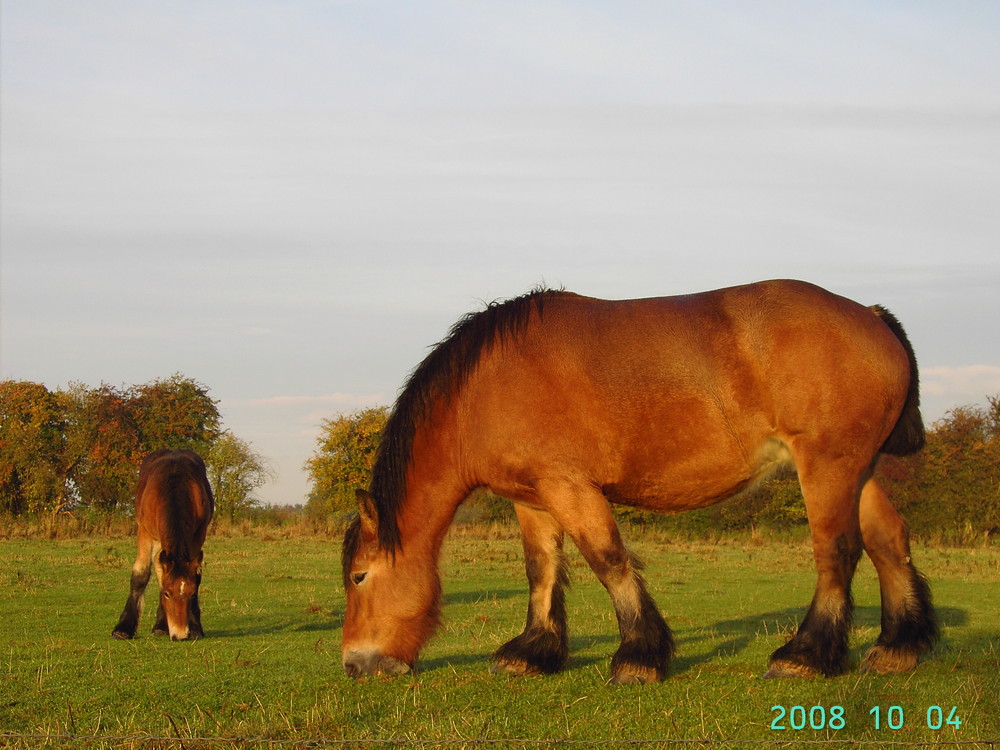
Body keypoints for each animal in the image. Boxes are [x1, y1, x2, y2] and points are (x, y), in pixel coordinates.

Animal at [112, 450, 214, 644]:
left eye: (191, 595)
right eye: (167, 594)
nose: (180, 634)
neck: (175, 487)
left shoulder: (198, 534)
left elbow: (196, 576)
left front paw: (195, 627)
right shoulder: (145, 533)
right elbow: (140, 575)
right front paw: (123, 629)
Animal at [342, 280, 936, 680]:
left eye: (358, 577)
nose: (353, 664)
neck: (486, 388)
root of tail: (869, 315)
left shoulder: (570, 489)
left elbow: (608, 561)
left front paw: (639, 657)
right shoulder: (532, 500)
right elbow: (541, 570)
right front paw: (533, 652)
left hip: (827, 466)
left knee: (837, 550)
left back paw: (805, 655)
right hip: (856, 469)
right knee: (888, 540)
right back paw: (899, 647)